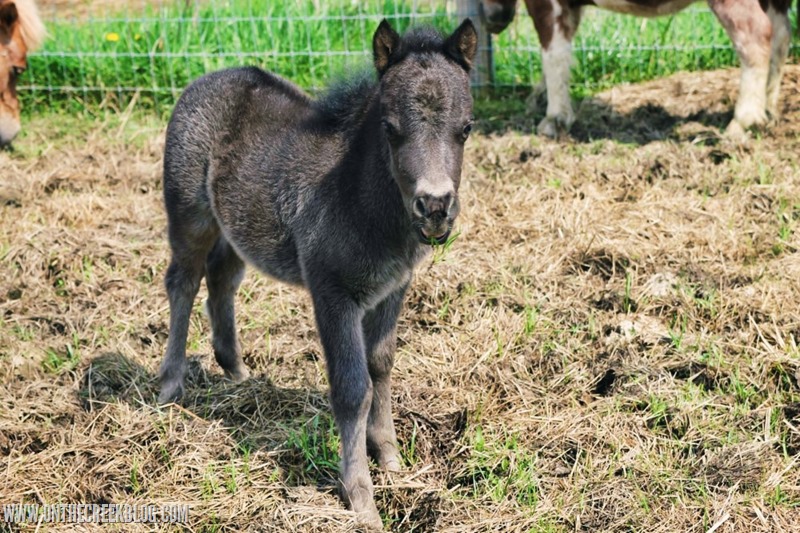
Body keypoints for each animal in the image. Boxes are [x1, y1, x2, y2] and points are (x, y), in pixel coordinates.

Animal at [159, 19, 478, 528]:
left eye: (466, 128)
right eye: (390, 128)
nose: (434, 208)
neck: (359, 197)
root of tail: (207, 79)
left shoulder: (393, 288)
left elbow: (381, 364)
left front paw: (390, 457)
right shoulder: (332, 293)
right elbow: (351, 389)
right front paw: (361, 499)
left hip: (235, 231)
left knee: (222, 280)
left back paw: (237, 373)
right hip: (190, 216)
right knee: (183, 283)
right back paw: (170, 386)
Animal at [482, 0, 792, 139]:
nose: (493, 20)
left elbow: (553, 53)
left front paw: (551, 123)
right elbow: (564, 54)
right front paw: (534, 101)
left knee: (756, 34)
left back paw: (741, 124)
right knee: (781, 34)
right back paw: (770, 112)